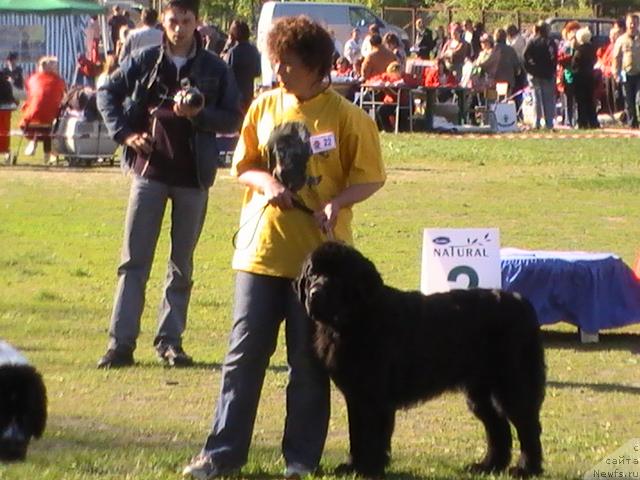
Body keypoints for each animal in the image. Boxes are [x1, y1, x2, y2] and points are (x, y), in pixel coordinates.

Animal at [296, 244, 544, 480]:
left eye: (337, 276)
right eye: (312, 274)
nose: (315, 293)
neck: (354, 320)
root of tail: (521, 301)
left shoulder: (375, 396)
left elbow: (373, 435)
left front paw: (370, 468)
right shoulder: (355, 395)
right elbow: (356, 433)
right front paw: (352, 466)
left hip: (512, 384)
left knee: (528, 425)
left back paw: (526, 469)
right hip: (479, 391)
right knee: (497, 426)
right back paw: (488, 466)